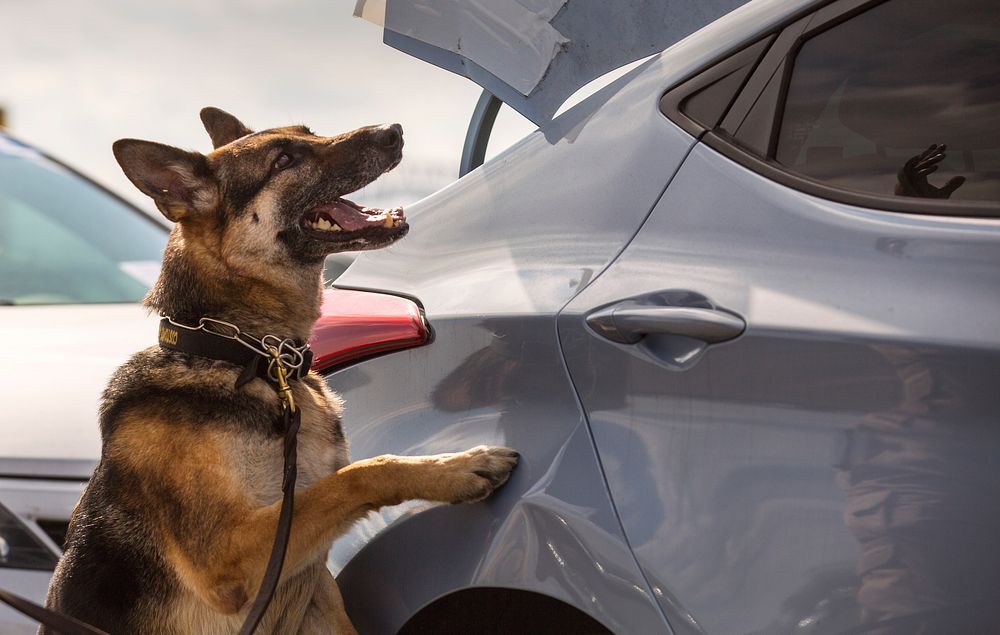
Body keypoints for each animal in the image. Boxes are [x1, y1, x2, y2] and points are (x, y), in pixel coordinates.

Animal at [42, 107, 520, 632]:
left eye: (309, 132)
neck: (242, 355)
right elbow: (358, 476)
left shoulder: (313, 589)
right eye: (284, 160)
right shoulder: (228, 558)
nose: (392, 132)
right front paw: (457, 468)